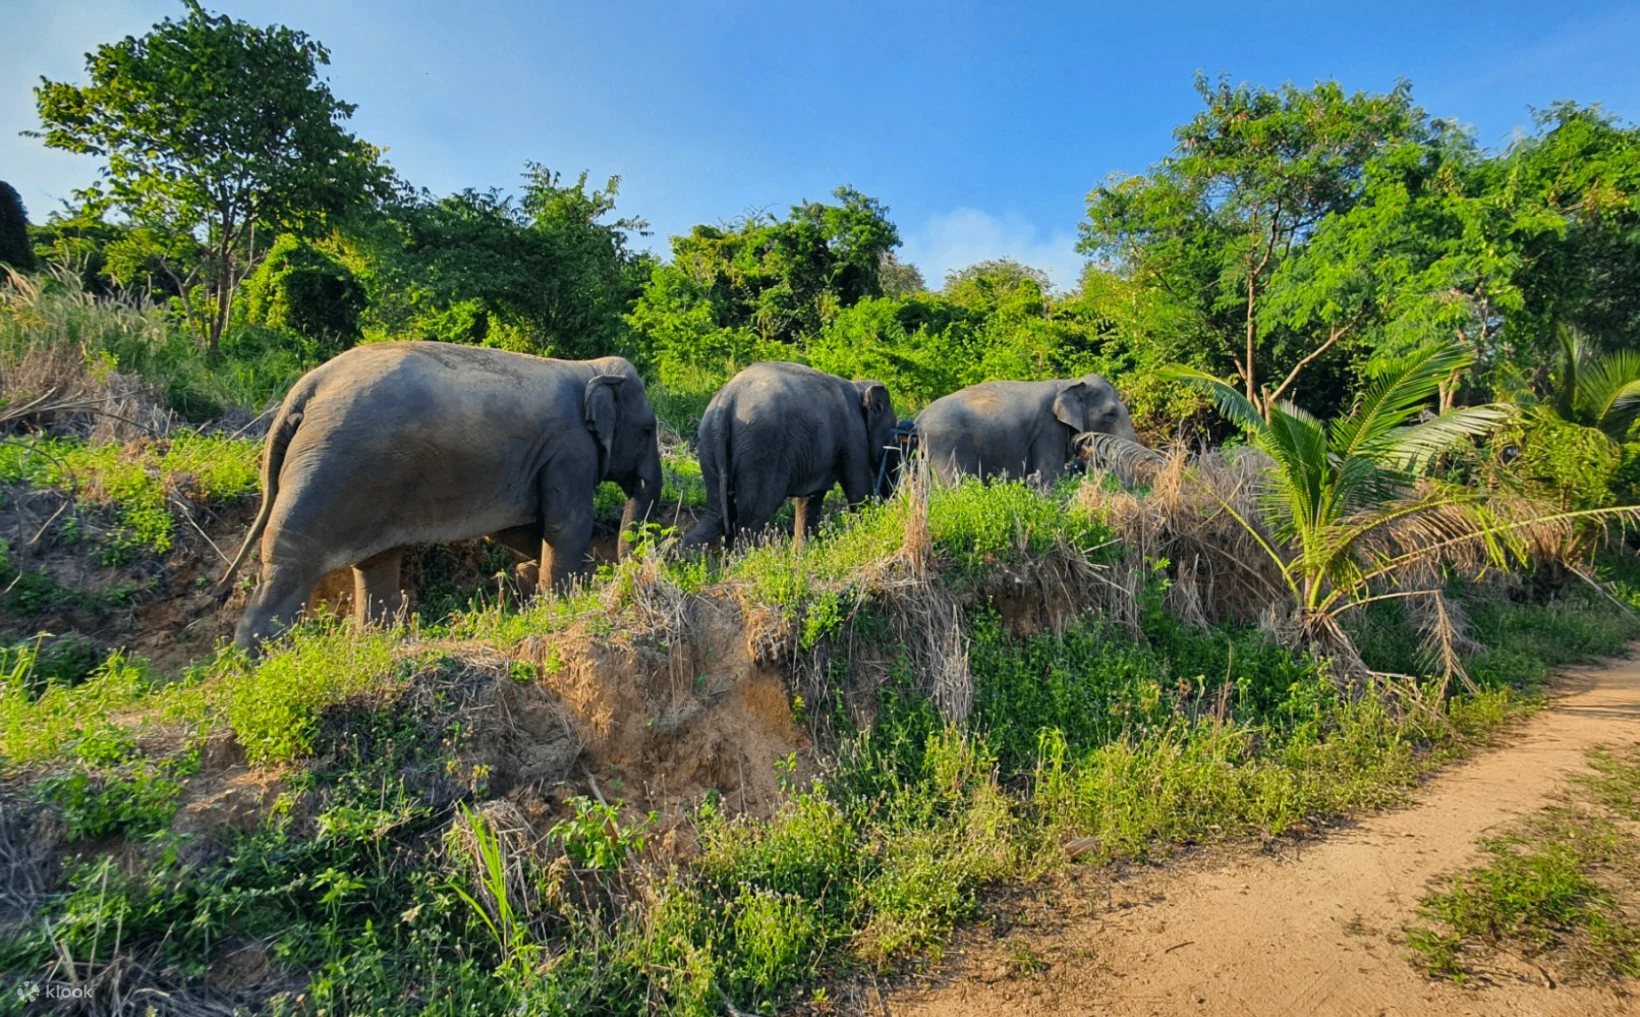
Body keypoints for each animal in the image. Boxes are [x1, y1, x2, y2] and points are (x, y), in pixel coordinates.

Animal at [219, 341, 662, 647]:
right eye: (647, 430)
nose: (626, 571)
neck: (588, 369)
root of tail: (306, 389)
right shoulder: (570, 449)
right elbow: (565, 525)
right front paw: (566, 598)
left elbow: (515, 528)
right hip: (328, 471)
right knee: (291, 559)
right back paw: (258, 660)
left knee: (375, 562)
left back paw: (376, 642)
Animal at [681, 362, 897, 548]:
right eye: (894, 432)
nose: (889, 501)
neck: (859, 386)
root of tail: (728, 399)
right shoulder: (853, 438)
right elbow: (859, 491)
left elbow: (811, 498)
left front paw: (801, 554)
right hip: (761, 450)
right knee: (753, 517)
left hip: (709, 443)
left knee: (716, 511)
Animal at [913, 374, 1137, 485]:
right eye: (1110, 414)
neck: (1068, 382)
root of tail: (918, 419)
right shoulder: (1049, 429)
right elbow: (1049, 475)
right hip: (946, 446)